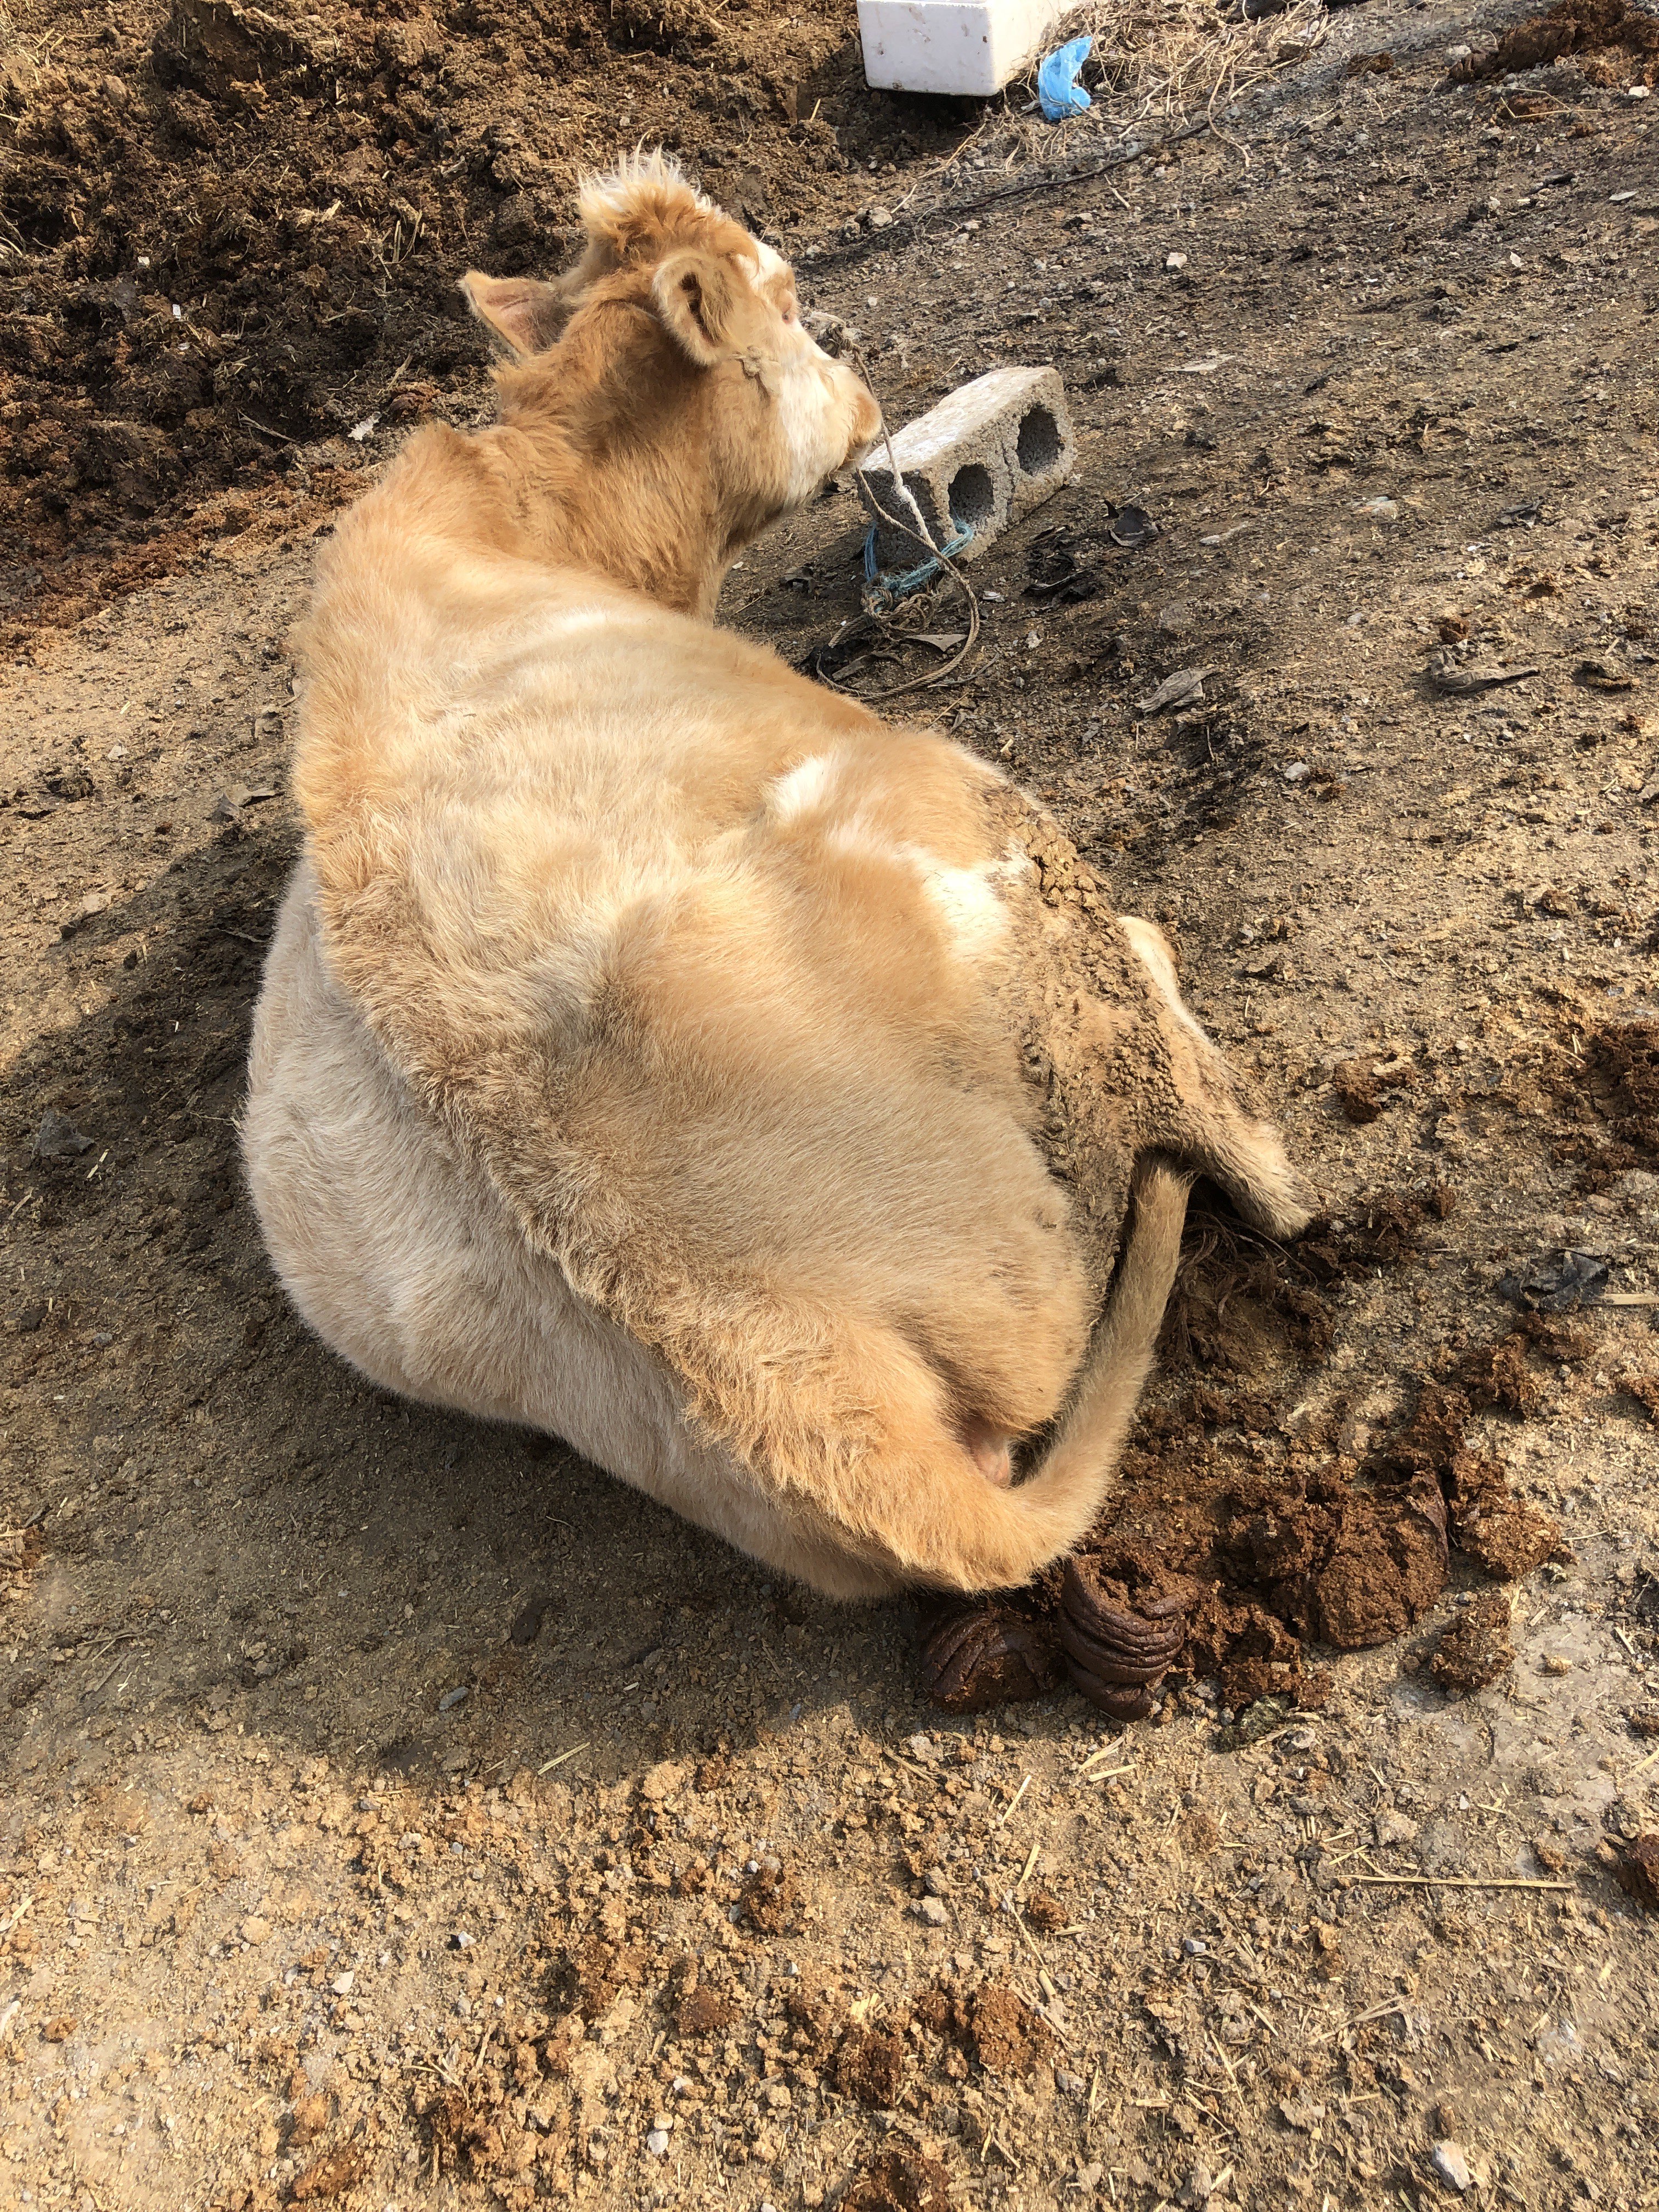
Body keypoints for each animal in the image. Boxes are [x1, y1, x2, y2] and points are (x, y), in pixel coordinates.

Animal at [243, 160, 1309, 1610]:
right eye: (791, 298)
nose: (861, 379)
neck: (541, 514)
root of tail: (776, 1359)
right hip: (948, 792)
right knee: (1241, 1144)